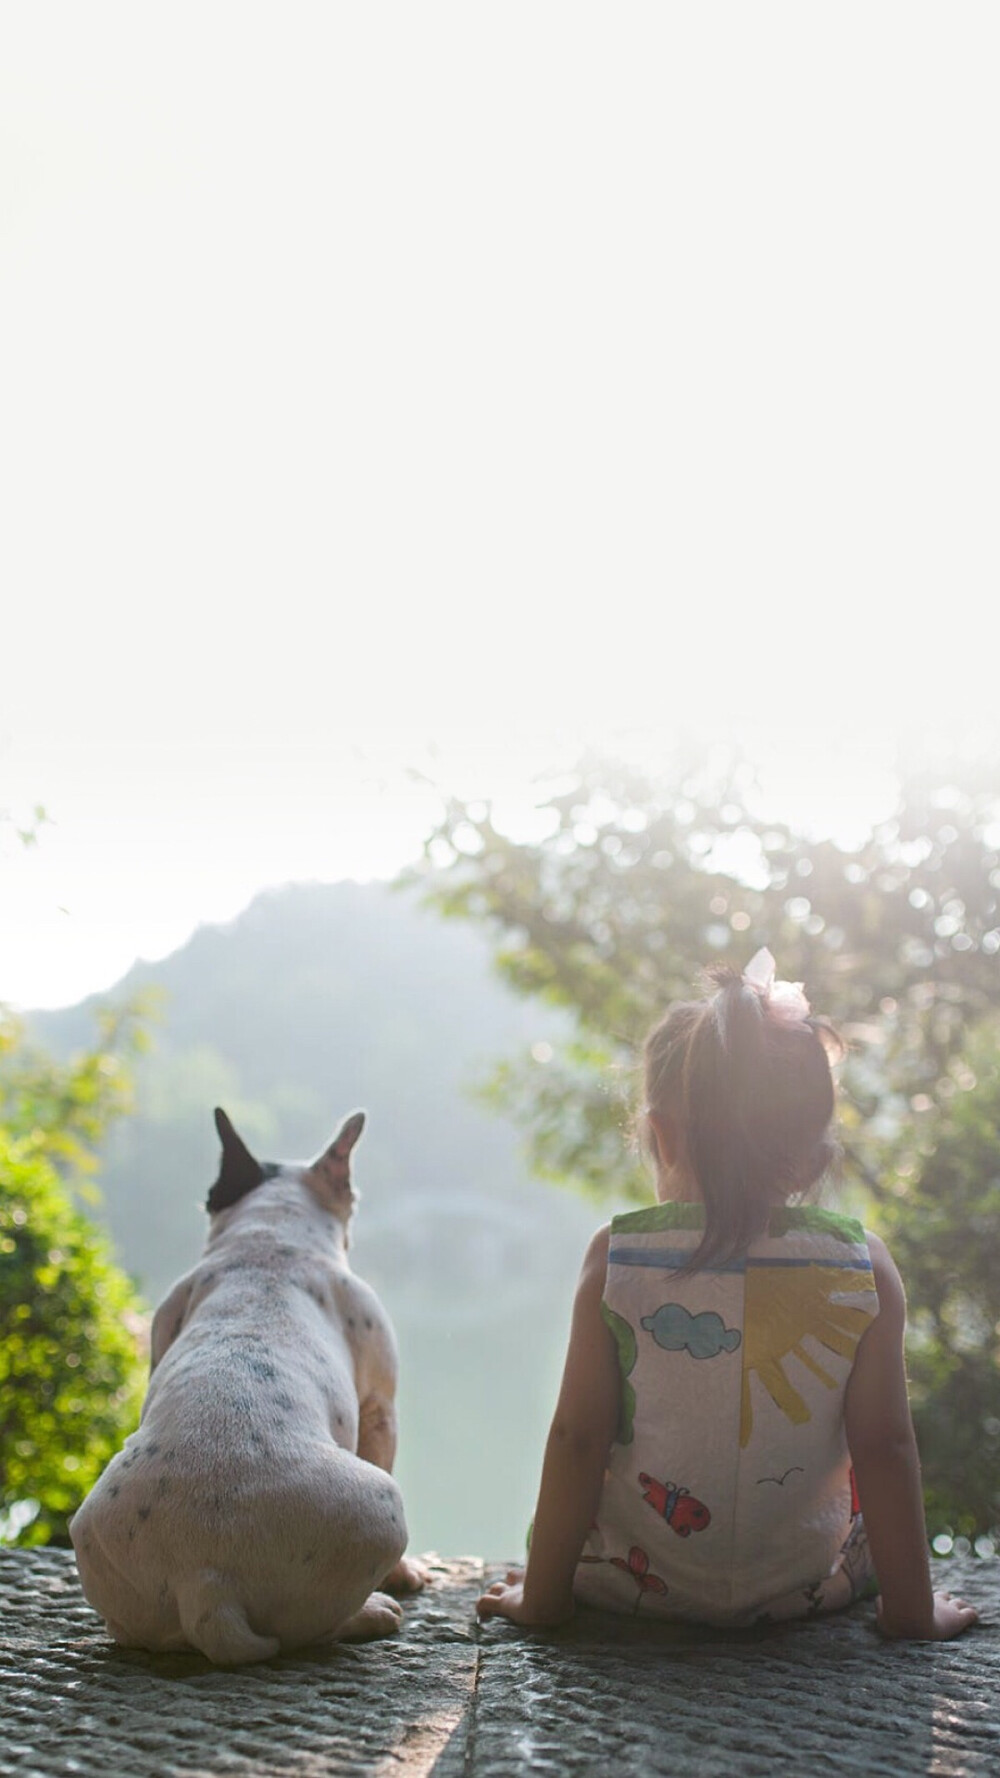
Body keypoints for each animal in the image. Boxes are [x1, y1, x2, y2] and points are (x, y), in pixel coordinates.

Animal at [71, 1102, 423, 1657]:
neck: (269, 1239)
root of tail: (204, 1582)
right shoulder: (379, 1408)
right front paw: (404, 1576)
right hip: (381, 1504)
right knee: (310, 1630)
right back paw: (370, 1614)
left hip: (99, 1546)